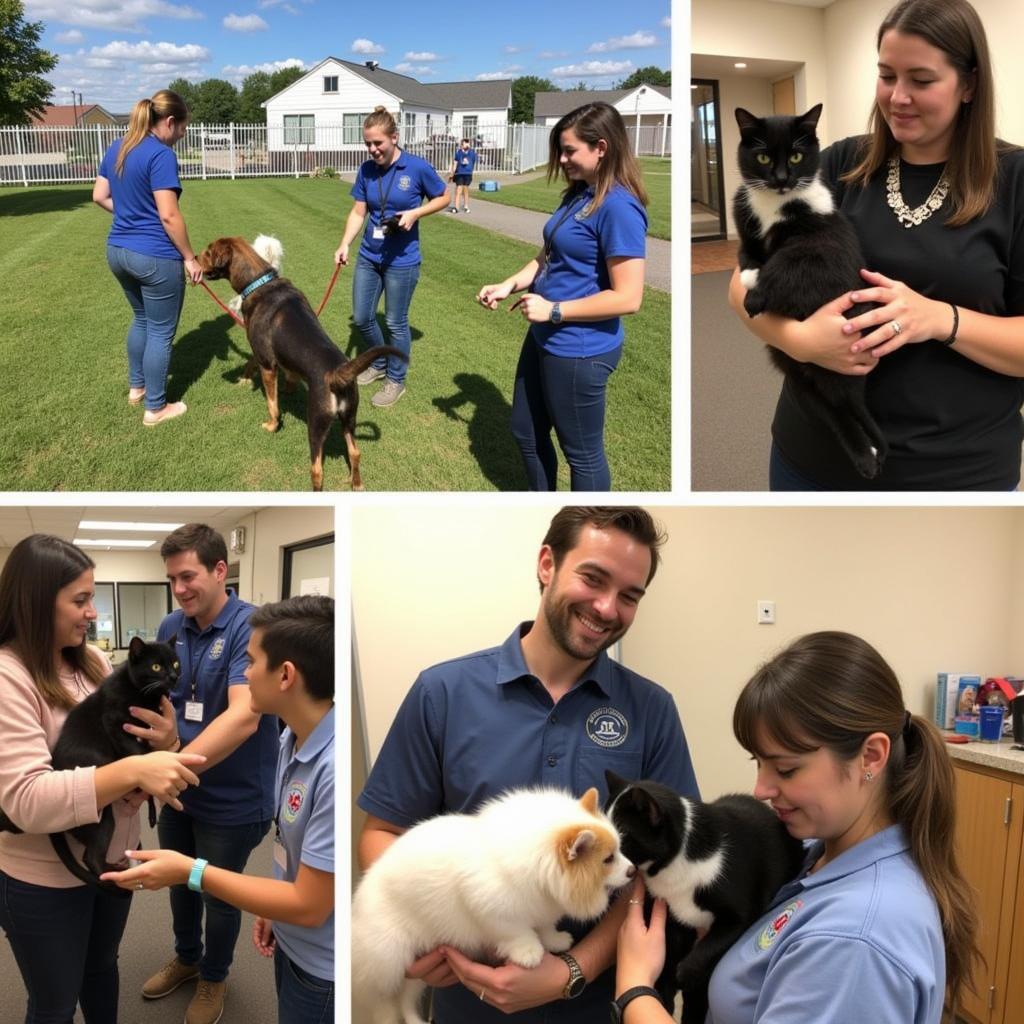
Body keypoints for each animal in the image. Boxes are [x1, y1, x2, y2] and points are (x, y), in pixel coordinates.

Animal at [0, 638, 180, 888]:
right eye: (156, 667)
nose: (173, 676)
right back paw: (117, 873)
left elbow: (146, 749)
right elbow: (138, 755)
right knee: (91, 858)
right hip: (103, 816)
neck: (144, 696)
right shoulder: (115, 724)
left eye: (175, 663)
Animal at [192, 240, 403, 495]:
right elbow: (268, 369)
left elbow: (272, 404)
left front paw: (271, 425)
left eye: (208, 251)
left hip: (316, 423)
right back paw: (357, 484)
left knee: (317, 469)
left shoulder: (266, 360)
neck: (259, 281)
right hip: (349, 417)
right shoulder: (267, 354)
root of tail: (338, 374)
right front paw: (264, 383)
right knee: (355, 452)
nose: (193, 257)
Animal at [354, 786, 638, 1019]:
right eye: (608, 859)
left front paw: (555, 940)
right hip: (391, 960)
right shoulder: (495, 912)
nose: (633, 870)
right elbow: (518, 933)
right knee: (385, 1004)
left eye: (620, 850)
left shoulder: (542, 908)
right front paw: (530, 954)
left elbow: (544, 926)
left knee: (406, 1001)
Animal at [602, 770, 802, 1024]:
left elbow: (708, 947)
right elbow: (667, 970)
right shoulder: (673, 923)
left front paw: (685, 974)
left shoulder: (740, 915)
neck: (673, 868)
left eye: (621, 835)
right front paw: (666, 991)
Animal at [729, 101, 888, 477]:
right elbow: (747, 250)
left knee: (845, 403)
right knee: (832, 410)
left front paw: (757, 294)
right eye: (762, 158)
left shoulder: (824, 243)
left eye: (797, 156)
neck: (773, 206)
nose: (781, 179)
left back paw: (870, 454)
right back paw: (866, 454)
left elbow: (790, 266)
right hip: (793, 364)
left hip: (833, 366)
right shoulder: (743, 215)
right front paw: (750, 274)